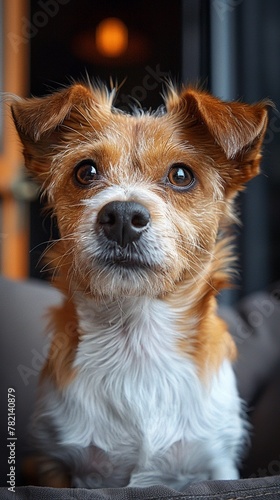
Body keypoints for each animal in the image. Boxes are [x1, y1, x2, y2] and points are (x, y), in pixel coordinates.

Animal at [11, 83, 270, 488]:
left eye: (181, 175)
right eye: (85, 171)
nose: (121, 216)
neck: (136, 338)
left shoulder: (217, 463)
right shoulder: (53, 463)